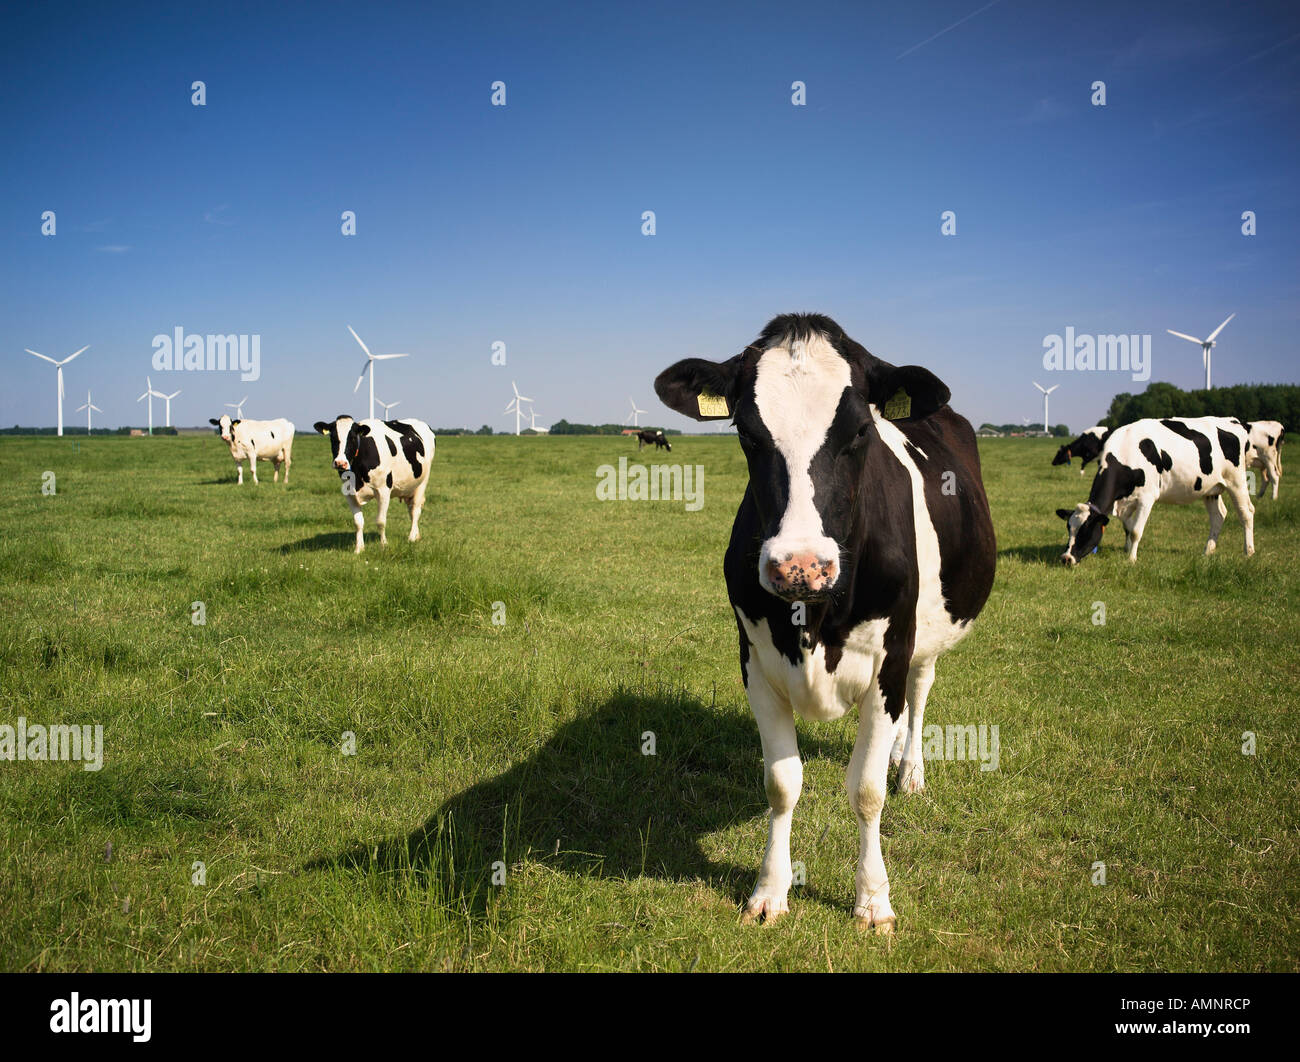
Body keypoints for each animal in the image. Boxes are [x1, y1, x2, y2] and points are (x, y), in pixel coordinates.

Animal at [312, 416, 435, 553]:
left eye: (353, 437)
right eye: (333, 437)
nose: (340, 463)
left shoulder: (384, 491)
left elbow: (380, 521)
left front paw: (384, 545)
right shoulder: (349, 493)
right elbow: (358, 522)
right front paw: (359, 548)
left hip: (422, 481)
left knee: (415, 509)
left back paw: (412, 537)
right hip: (409, 487)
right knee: (411, 508)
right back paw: (417, 535)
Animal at [655, 312, 996, 934]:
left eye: (860, 432)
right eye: (747, 433)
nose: (800, 565)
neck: (813, 618)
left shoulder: (889, 657)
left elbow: (866, 791)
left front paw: (873, 900)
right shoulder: (754, 661)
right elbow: (781, 784)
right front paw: (770, 891)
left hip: (925, 637)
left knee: (920, 691)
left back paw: (909, 767)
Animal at [1057, 416, 1254, 565]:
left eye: (1086, 530)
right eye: (1069, 528)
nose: (1066, 558)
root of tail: (1234, 421)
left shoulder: (1147, 497)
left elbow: (1136, 530)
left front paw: (1131, 559)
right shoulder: (1125, 503)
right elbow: (1128, 526)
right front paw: (1127, 549)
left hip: (1236, 480)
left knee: (1246, 513)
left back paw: (1249, 552)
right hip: (1210, 489)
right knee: (1218, 516)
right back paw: (1207, 551)